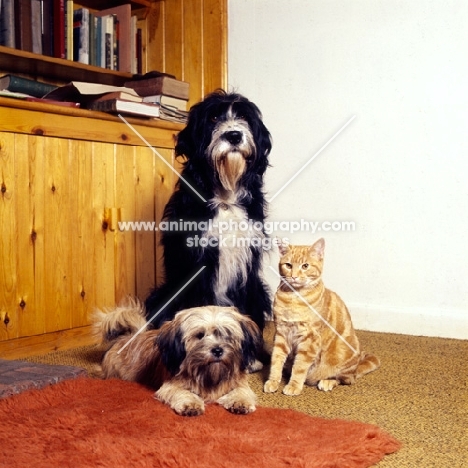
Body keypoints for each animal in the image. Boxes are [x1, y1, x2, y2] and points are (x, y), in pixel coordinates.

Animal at [93, 300, 262, 416]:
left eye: (227, 334)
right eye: (200, 335)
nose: (218, 350)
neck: (208, 374)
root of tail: (126, 337)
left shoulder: (240, 383)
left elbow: (242, 391)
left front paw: (240, 402)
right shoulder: (170, 385)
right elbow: (183, 392)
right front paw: (191, 404)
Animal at [144, 89, 272, 334]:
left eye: (244, 117)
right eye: (213, 118)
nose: (234, 135)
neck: (225, 198)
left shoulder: (248, 261)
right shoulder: (199, 262)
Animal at [266, 238, 378, 394]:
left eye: (305, 266)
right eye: (288, 265)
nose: (294, 276)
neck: (294, 298)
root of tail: (356, 368)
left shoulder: (310, 339)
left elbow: (299, 367)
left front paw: (294, 385)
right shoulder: (281, 334)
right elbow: (276, 360)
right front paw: (273, 381)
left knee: (346, 380)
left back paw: (327, 381)